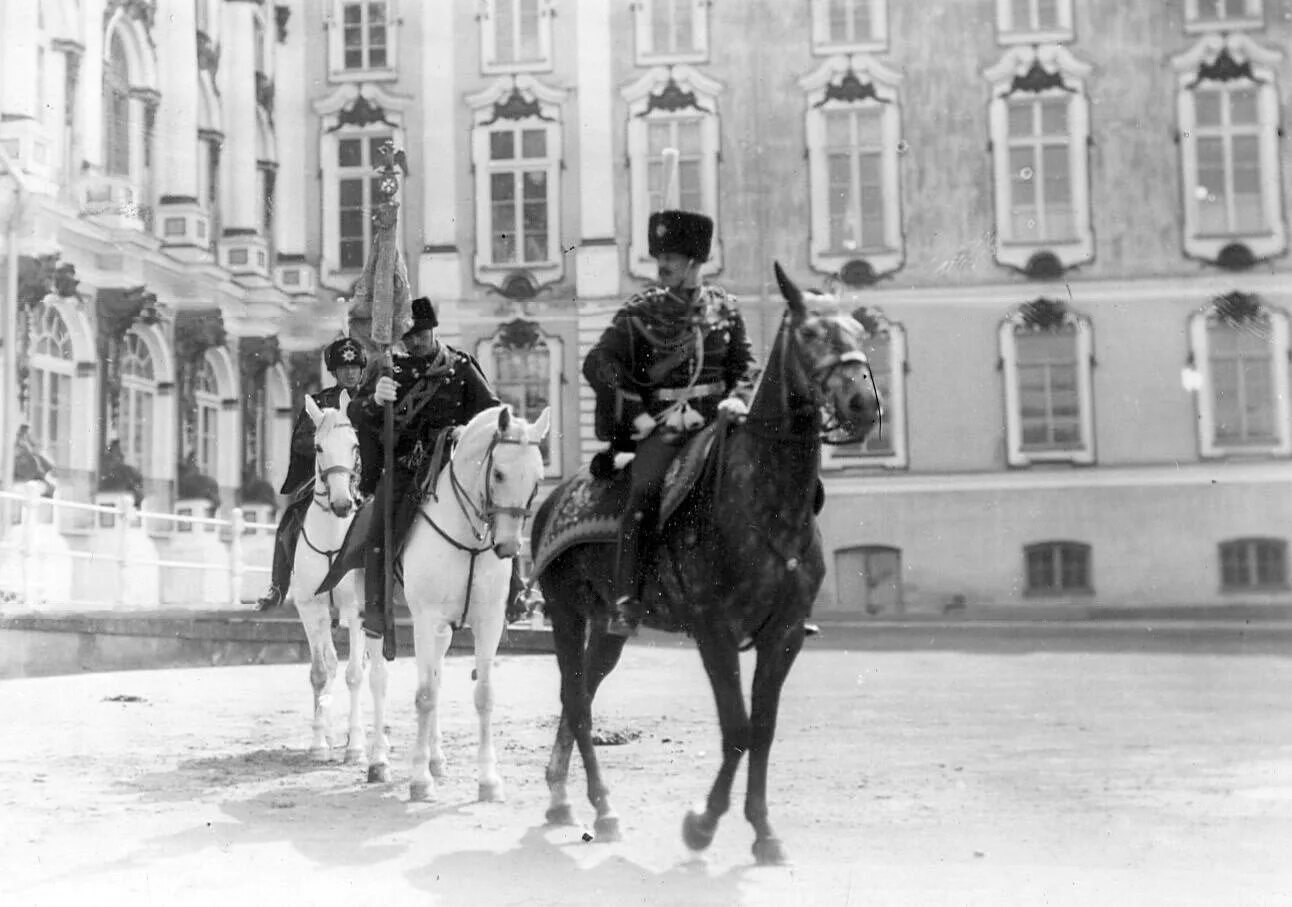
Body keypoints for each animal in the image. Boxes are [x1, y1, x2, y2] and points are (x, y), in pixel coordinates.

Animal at [359, 405, 550, 801]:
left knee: (437, 675)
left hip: (443, 632)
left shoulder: (488, 623)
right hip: (371, 615)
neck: (469, 538)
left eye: (538, 479)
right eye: (498, 472)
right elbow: (424, 696)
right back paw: (378, 761)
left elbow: (482, 694)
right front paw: (419, 780)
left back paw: (436, 758)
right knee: (379, 679)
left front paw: (488, 780)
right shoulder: (424, 619)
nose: (509, 547)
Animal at [529, 263, 883, 868]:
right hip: (565, 613)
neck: (766, 502)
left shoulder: (784, 635)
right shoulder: (714, 630)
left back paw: (563, 797)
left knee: (584, 695)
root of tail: (556, 497)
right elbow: (737, 728)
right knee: (576, 702)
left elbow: (762, 729)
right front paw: (702, 826)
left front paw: (763, 832)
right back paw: (601, 806)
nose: (862, 402)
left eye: (860, 332)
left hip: (608, 625)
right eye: (811, 333)